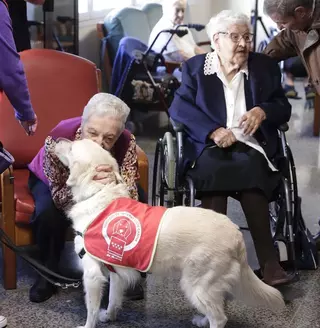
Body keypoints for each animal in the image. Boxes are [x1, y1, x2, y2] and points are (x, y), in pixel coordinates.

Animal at [53, 138, 284, 328]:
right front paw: (109, 316)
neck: (99, 194)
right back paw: (202, 320)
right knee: (218, 307)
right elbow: (113, 299)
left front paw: (88, 325)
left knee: (220, 318)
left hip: (196, 285)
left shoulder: (91, 274)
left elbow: (91, 310)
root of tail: (236, 233)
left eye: (72, 147)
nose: (56, 139)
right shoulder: (115, 269)